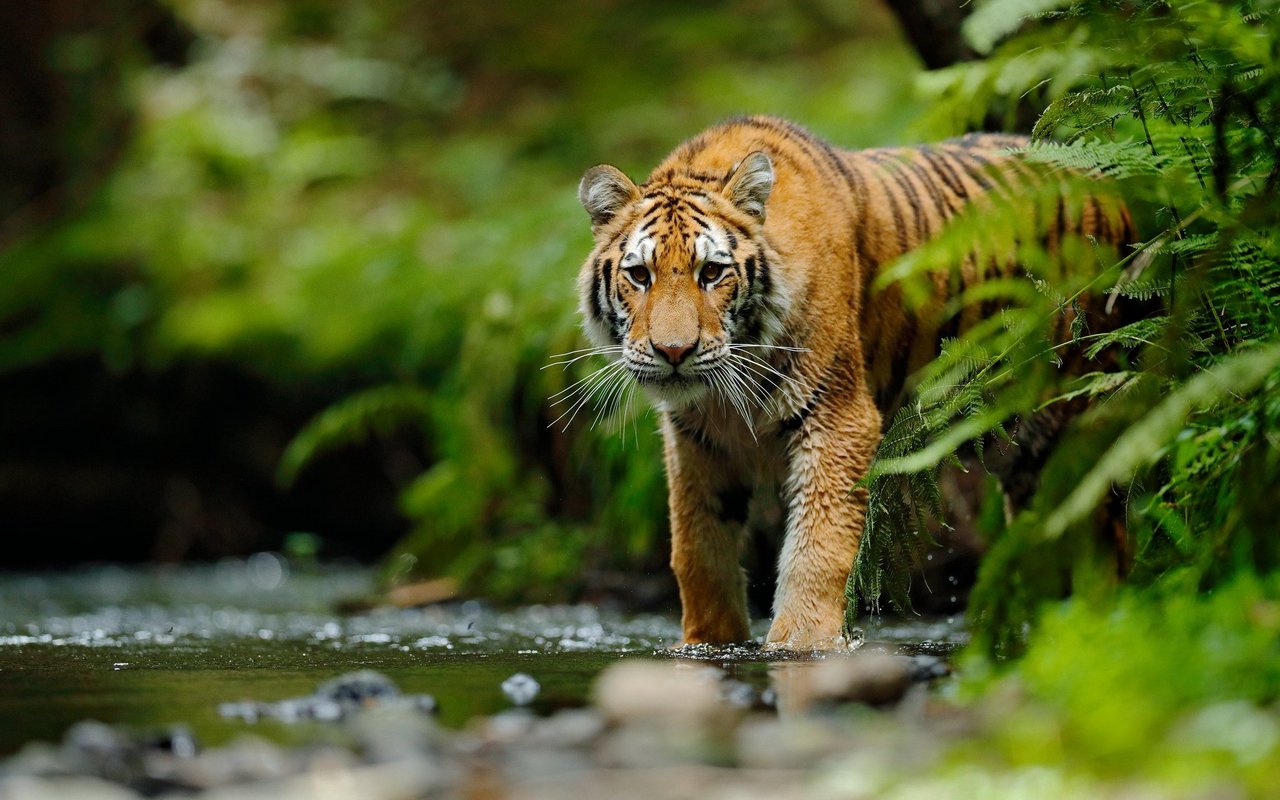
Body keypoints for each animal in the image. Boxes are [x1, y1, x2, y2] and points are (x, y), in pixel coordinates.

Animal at [573, 115, 1136, 649]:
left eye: (711, 273)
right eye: (640, 275)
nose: (674, 352)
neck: (725, 394)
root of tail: (1112, 185)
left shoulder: (837, 417)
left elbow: (816, 547)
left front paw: (800, 644)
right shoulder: (697, 442)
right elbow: (697, 551)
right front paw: (707, 643)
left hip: (1075, 427)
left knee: (1104, 537)